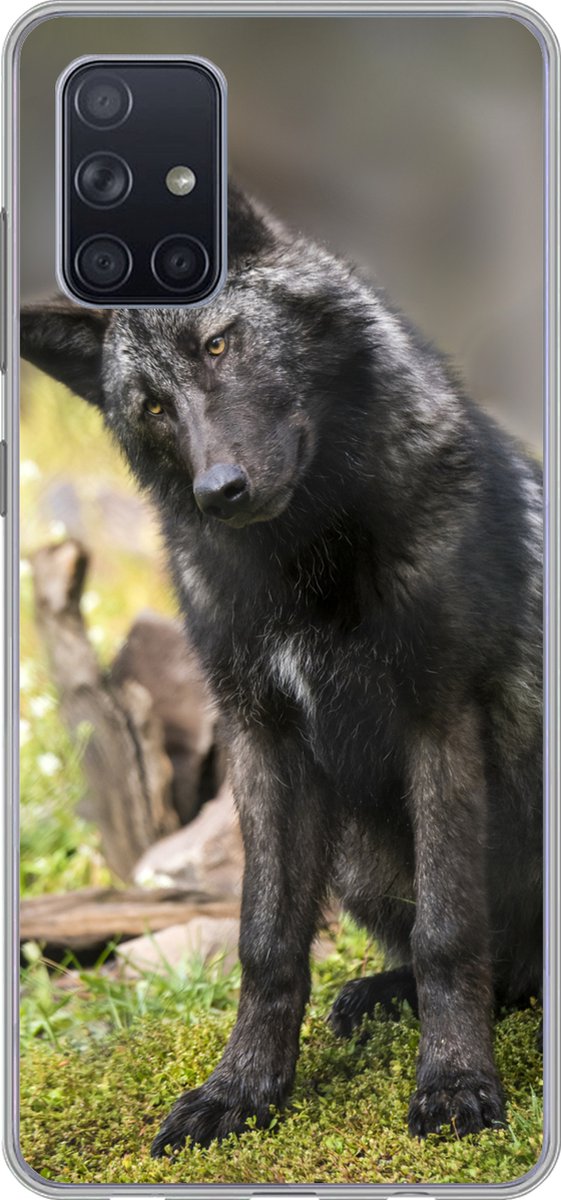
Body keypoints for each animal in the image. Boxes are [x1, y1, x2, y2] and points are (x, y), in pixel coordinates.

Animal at [21, 185, 543, 1155]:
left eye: (218, 344)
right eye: (152, 407)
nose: (217, 491)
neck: (304, 568)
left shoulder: (440, 718)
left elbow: (449, 931)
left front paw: (456, 1084)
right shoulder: (259, 737)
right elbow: (264, 943)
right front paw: (241, 1090)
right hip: (363, 861)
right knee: (499, 969)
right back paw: (378, 998)